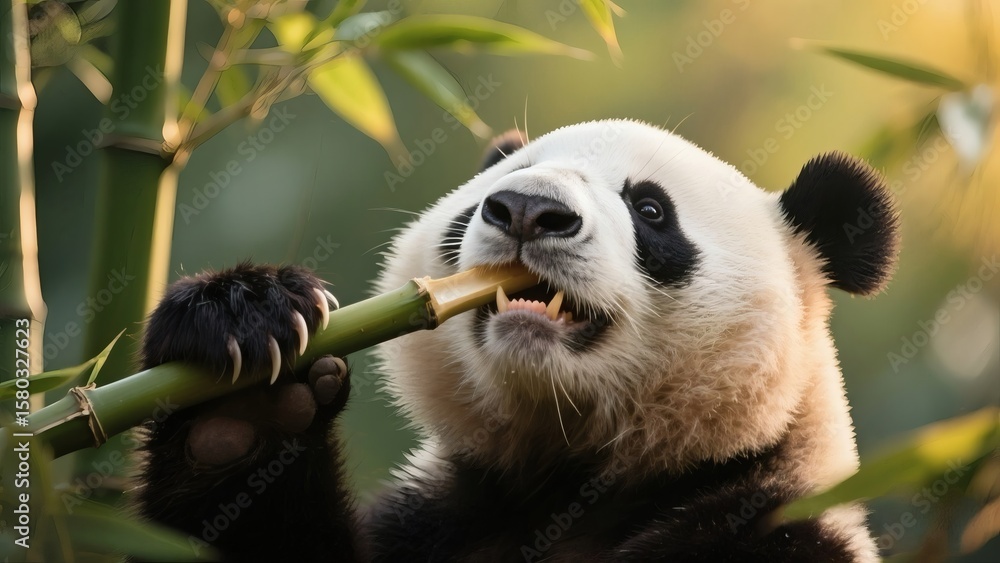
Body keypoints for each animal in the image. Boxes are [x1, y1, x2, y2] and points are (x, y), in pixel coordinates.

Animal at [135, 119, 898, 562]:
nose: (529, 209)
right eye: (495, 189)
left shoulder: (772, 530)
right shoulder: (441, 521)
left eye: (651, 209)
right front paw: (247, 391)